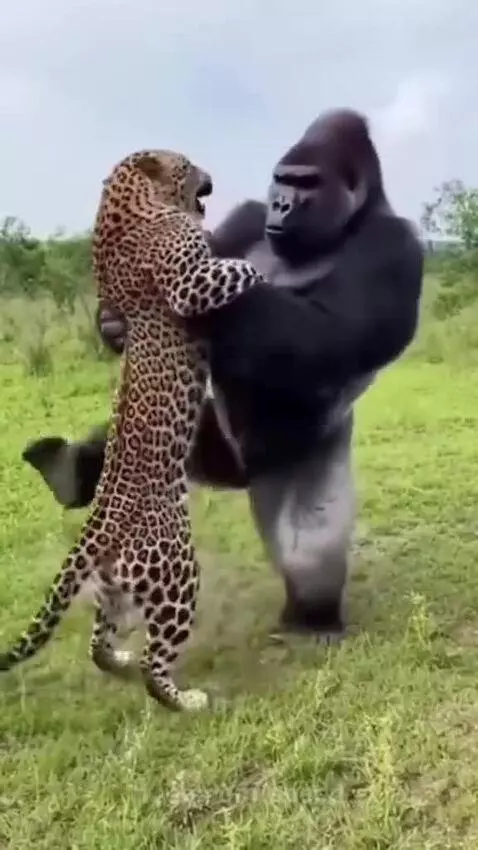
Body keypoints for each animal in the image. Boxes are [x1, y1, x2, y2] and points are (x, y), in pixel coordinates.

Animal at [0, 148, 266, 712]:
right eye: (187, 163)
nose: (211, 178)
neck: (130, 207)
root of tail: (95, 529)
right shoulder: (189, 284)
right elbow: (231, 269)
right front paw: (257, 265)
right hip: (176, 571)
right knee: (153, 661)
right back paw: (185, 699)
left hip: (117, 587)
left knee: (100, 645)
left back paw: (118, 663)